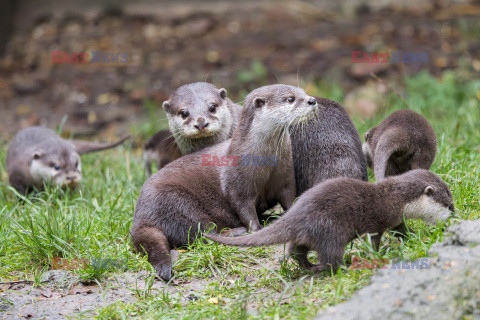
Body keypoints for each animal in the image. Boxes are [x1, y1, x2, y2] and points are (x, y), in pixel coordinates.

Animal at [131, 84, 318, 280]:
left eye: (303, 93)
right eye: (290, 99)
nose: (312, 100)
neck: (264, 162)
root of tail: (141, 217)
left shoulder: (285, 178)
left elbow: (290, 199)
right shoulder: (237, 184)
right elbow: (243, 207)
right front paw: (256, 229)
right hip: (178, 203)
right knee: (203, 233)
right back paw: (238, 232)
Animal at [205, 170, 454, 272]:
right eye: (449, 205)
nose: (454, 215)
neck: (394, 198)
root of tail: (296, 214)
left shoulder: (395, 220)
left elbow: (402, 230)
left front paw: (413, 237)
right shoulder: (377, 222)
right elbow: (373, 240)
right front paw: (377, 254)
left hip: (307, 235)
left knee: (296, 251)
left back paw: (309, 267)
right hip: (331, 230)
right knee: (330, 258)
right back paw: (344, 266)